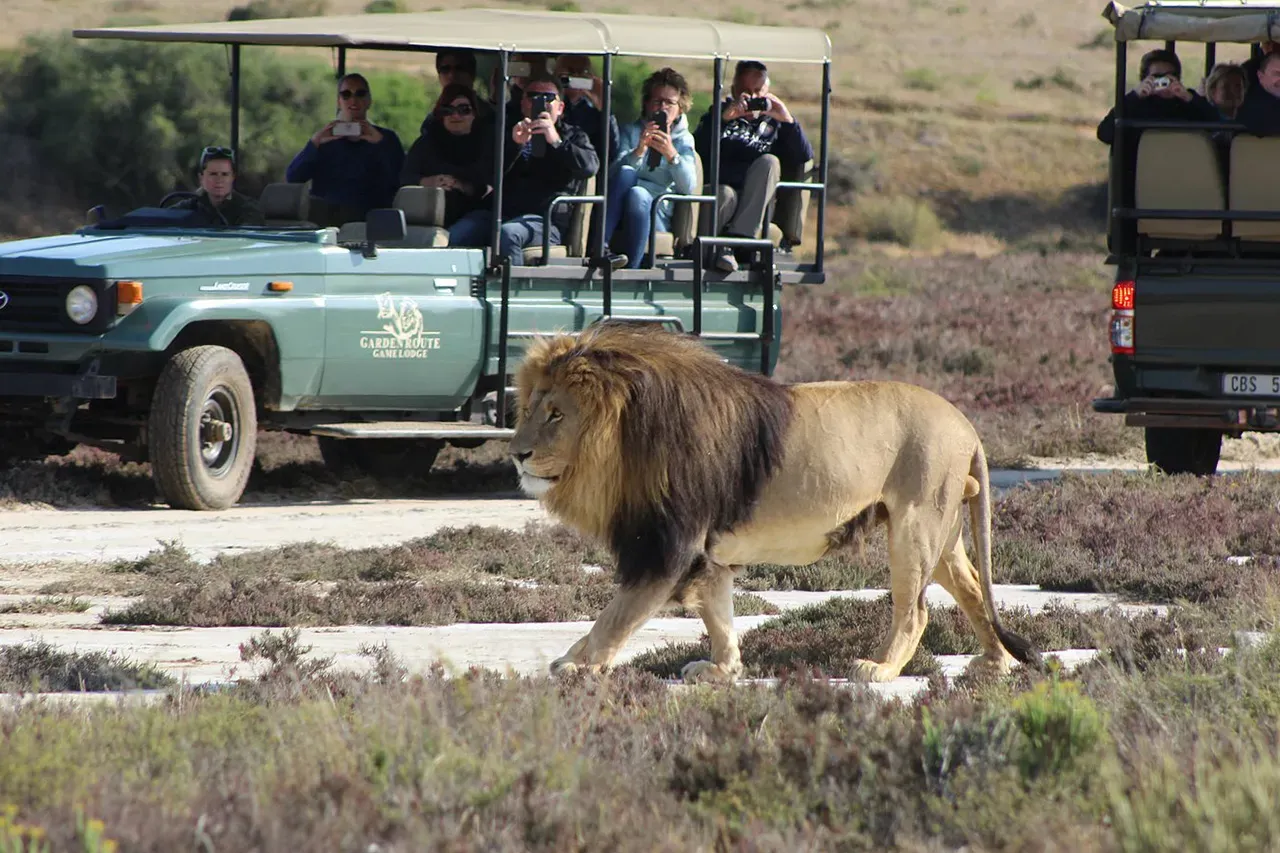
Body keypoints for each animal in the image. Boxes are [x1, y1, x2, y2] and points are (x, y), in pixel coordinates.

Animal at [508, 320, 1041, 684]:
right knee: (974, 589)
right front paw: (722, 672)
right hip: (941, 535)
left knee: (915, 611)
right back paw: (996, 662)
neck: (624, 440)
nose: (516, 454)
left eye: (556, 414)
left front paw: (577, 666)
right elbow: (719, 616)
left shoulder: (668, 548)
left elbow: (614, 617)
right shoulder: (706, 554)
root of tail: (966, 425)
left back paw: (880, 668)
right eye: (530, 407)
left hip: (915, 529)